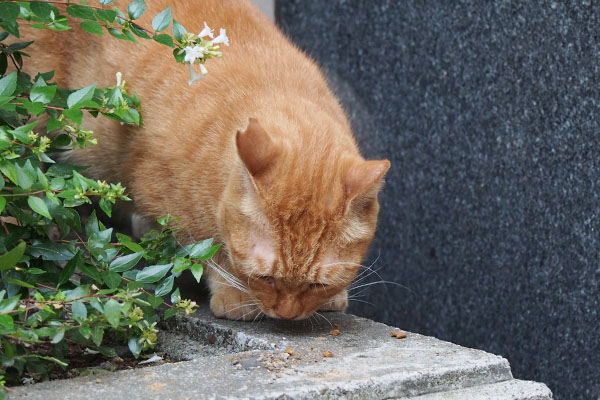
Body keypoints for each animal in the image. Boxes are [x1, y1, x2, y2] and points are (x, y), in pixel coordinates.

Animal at [22, 0, 390, 320]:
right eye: (266, 278)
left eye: (317, 285)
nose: (286, 315)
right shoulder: (166, 202)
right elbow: (208, 252)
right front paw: (235, 293)